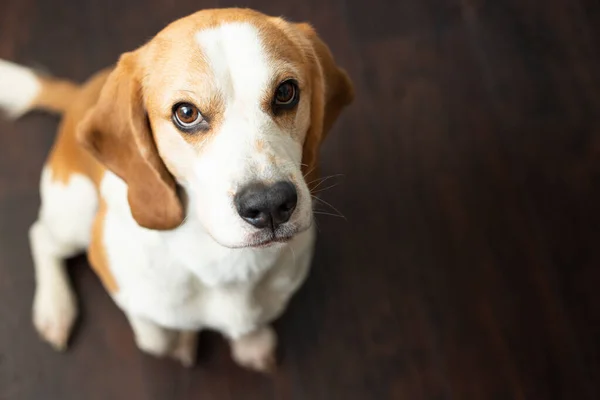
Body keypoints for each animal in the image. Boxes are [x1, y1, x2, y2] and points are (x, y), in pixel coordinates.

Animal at [0, 8, 352, 372]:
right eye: (186, 113)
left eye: (285, 92)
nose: (269, 204)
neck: (224, 261)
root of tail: (80, 97)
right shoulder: (117, 273)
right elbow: (156, 336)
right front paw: (181, 338)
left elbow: (252, 322)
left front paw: (251, 342)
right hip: (76, 213)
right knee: (41, 237)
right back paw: (55, 308)